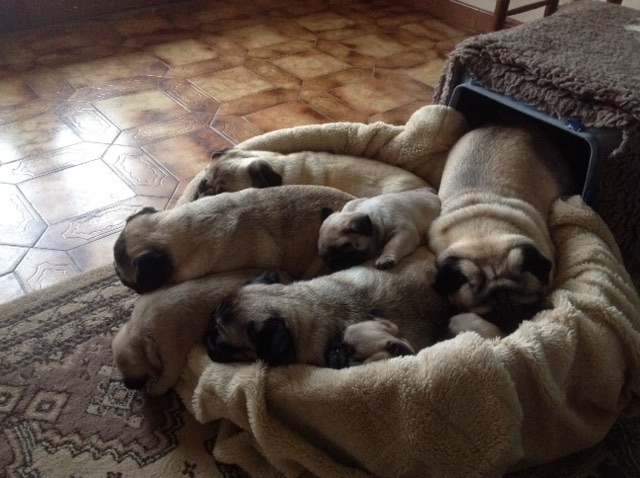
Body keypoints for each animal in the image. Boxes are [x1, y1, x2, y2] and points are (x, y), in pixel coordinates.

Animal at [111, 269, 286, 396]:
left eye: (131, 373)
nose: (126, 385)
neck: (141, 332)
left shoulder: (172, 354)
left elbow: (167, 377)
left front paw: (155, 388)